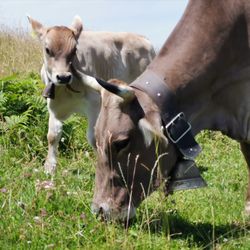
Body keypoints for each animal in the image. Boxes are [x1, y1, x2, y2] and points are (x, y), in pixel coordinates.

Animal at [28, 16, 155, 174]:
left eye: (74, 50)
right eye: (47, 50)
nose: (63, 77)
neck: (65, 91)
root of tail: (143, 39)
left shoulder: (95, 104)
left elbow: (94, 138)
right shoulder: (53, 106)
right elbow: (52, 135)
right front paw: (49, 167)